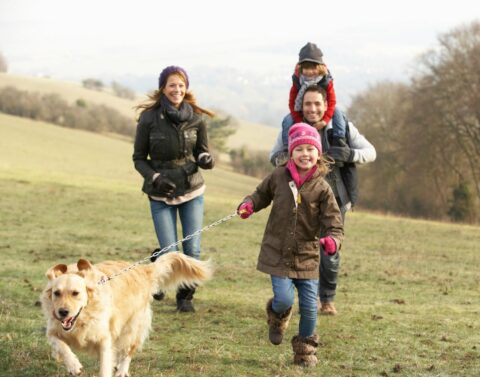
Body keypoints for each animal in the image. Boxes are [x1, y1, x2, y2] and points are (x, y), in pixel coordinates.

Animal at [40, 253, 213, 376]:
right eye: (56, 293)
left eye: (75, 293)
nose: (63, 312)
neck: (82, 319)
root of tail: (143, 270)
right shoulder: (53, 330)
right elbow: (61, 345)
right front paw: (73, 365)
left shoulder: (104, 338)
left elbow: (105, 366)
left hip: (132, 328)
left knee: (128, 351)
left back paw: (122, 370)